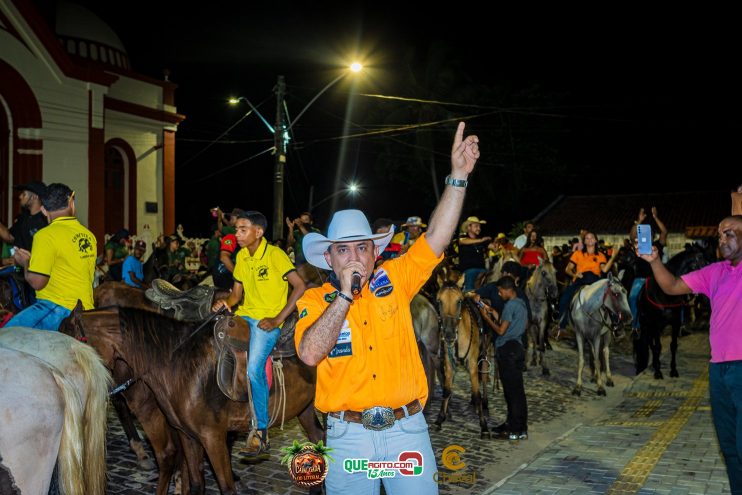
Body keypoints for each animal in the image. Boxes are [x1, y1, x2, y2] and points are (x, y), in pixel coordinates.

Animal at [60, 304, 322, 494]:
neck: (178, 364)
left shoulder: (213, 437)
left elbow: (226, 488)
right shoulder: (187, 435)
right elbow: (195, 484)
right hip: (305, 408)